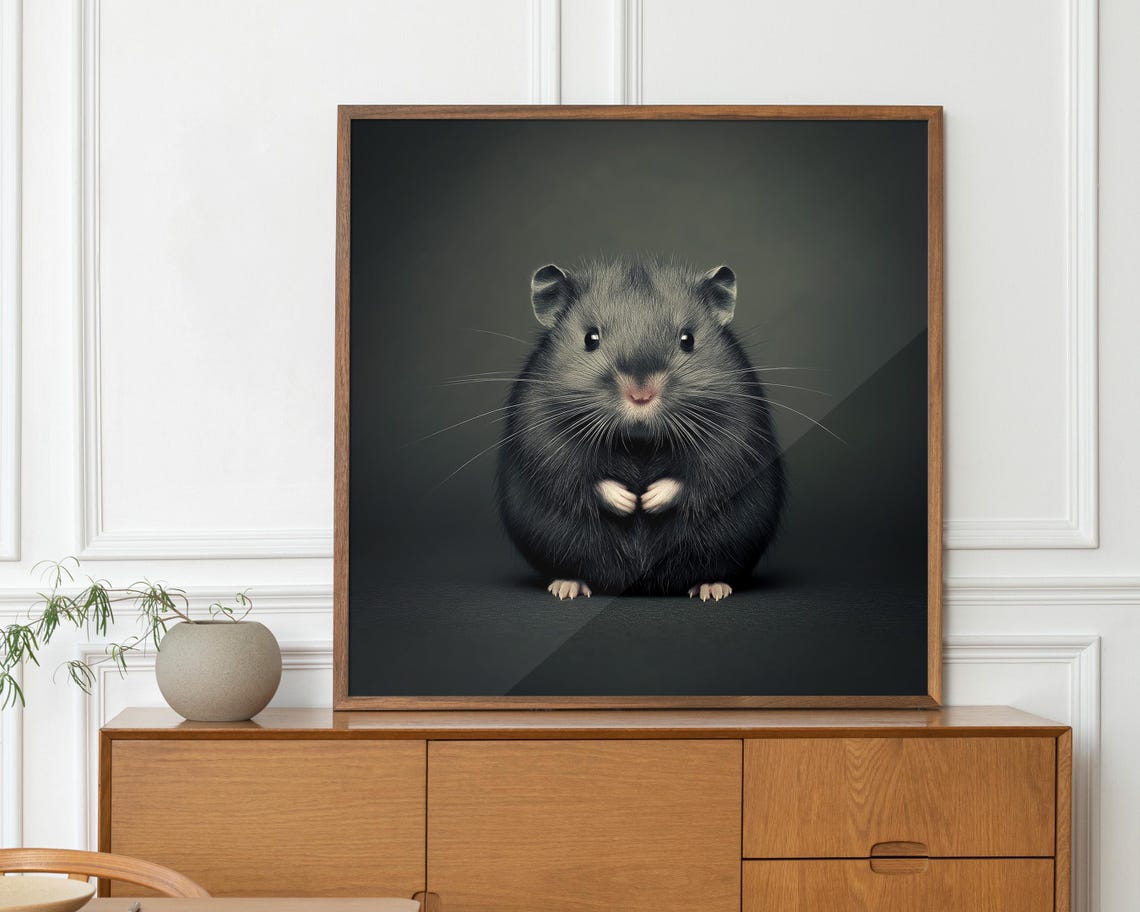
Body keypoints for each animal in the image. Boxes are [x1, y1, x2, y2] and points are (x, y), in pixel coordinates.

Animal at [496, 258, 785, 600]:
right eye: (590, 339)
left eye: (688, 339)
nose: (641, 395)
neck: (639, 442)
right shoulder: (543, 434)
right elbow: (579, 476)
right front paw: (628, 501)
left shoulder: (734, 433)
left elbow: (700, 476)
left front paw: (648, 499)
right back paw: (567, 586)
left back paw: (712, 588)